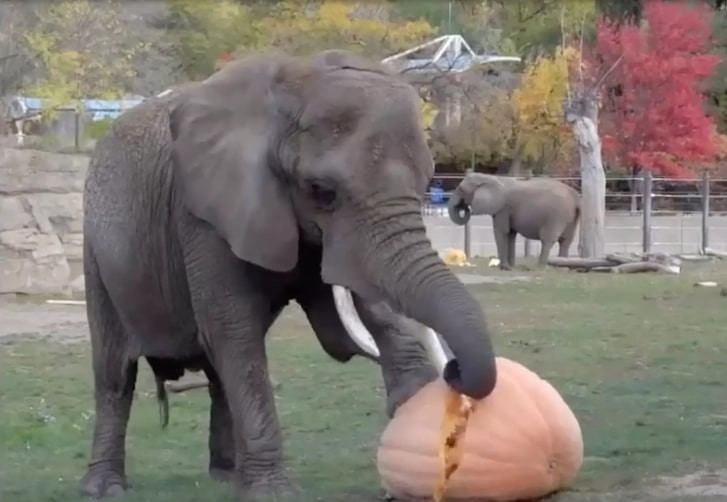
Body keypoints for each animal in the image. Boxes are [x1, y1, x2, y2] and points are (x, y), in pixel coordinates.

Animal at [79, 49, 498, 500]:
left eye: (426, 182)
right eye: (321, 191)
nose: (454, 373)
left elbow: (342, 326)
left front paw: (412, 407)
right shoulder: (203, 214)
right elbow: (235, 332)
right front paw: (273, 493)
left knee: (217, 372)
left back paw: (227, 477)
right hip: (95, 252)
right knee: (115, 374)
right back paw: (105, 487)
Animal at [448, 173, 580, 269]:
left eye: (461, 189)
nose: (465, 208)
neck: (490, 178)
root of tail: (575, 196)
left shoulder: (503, 208)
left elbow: (502, 232)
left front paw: (504, 268)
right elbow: (511, 234)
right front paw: (511, 267)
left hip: (556, 215)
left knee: (548, 240)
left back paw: (540, 267)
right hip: (571, 218)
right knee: (566, 241)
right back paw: (563, 266)